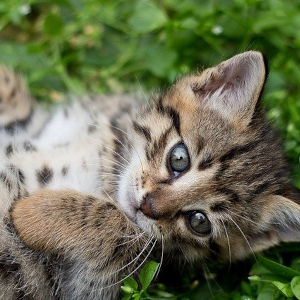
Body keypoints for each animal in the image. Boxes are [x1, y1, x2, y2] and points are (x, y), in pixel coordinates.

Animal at [0, 50, 298, 298]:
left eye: (199, 221)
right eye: (179, 158)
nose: (148, 206)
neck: (112, 152)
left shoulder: (97, 283)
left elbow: (117, 223)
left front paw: (32, 213)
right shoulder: (35, 124)